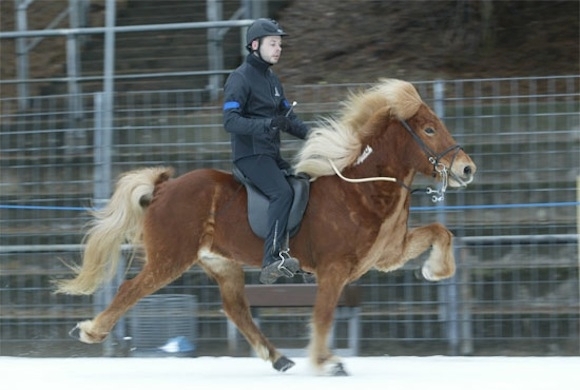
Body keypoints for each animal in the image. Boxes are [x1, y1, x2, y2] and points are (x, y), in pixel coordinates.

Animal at [56, 78, 476, 374]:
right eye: (429, 130)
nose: (467, 168)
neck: (363, 189)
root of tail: (162, 188)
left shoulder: (386, 255)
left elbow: (441, 233)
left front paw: (436, 271)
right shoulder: (334, 269)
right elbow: (323, 314)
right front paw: (326, 362)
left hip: (221, 263)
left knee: (236, 309)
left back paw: (278, 358)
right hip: (170, 258)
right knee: (130, 289)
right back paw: (90, 331)